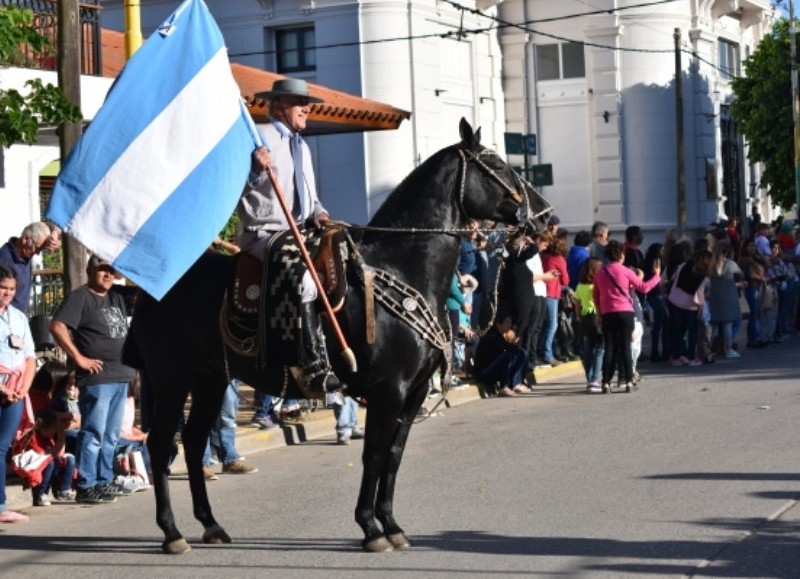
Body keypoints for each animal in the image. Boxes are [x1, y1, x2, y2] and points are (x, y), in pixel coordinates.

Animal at [126, 119, 552, 556]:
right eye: (496, 165)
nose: (544, 217)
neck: (403, 267)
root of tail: (151, 290)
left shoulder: (413, 393)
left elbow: (393, 456)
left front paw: (391, 524)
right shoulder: (388, 391)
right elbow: (374, 456)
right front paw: (370, 528)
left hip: (210, 379)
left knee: (193, 442)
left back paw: (210, 525)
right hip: (172, 377)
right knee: (161, 444)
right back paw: (172, 533)